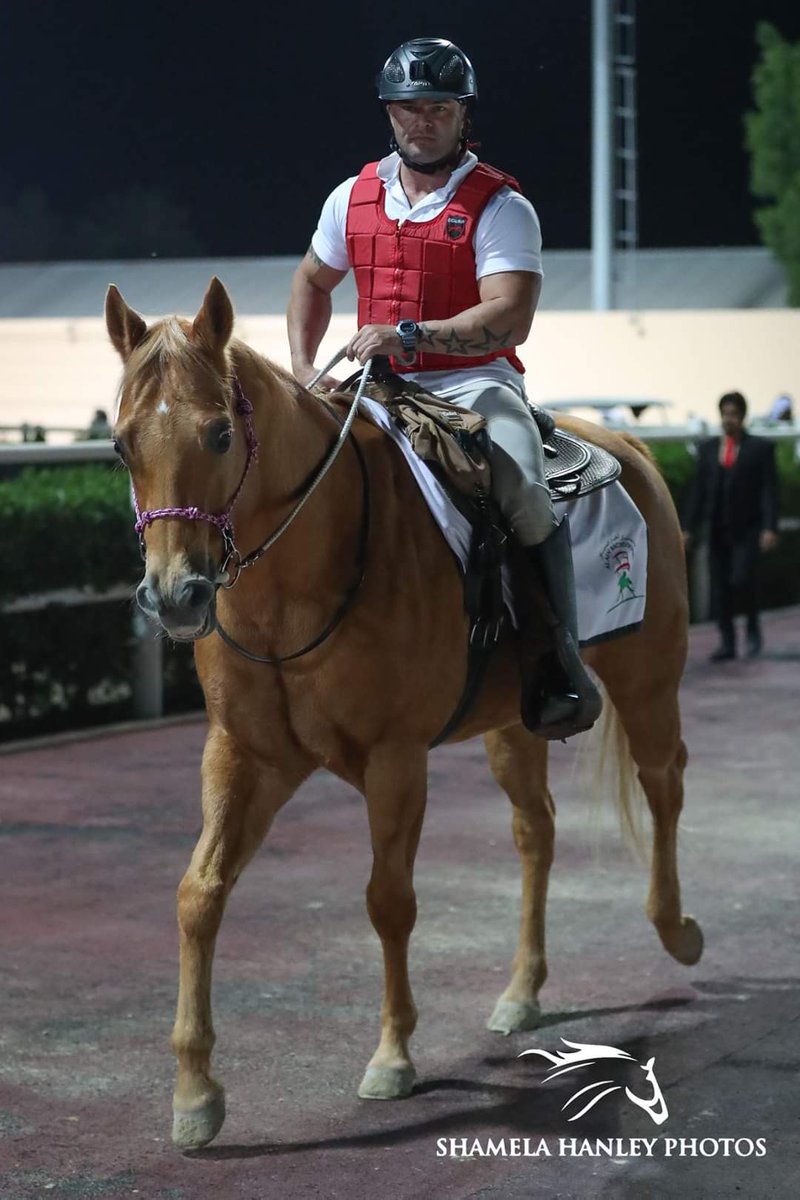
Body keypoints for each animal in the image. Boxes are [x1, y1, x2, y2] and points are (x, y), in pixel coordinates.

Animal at [105, 277, 703, 1151]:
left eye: (219, 434)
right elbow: (199, 893)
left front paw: (391, 1056)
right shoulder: (244, 755)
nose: (176, 594)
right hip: (514, 723)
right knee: (537, 829)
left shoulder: (394, 758)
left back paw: (676, 930)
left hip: (648, 673)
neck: (305, 572)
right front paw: (195, 1094)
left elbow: (388, 900)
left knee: (663, 782)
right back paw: (522, 991)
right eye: (121, 446)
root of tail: (629, 445)